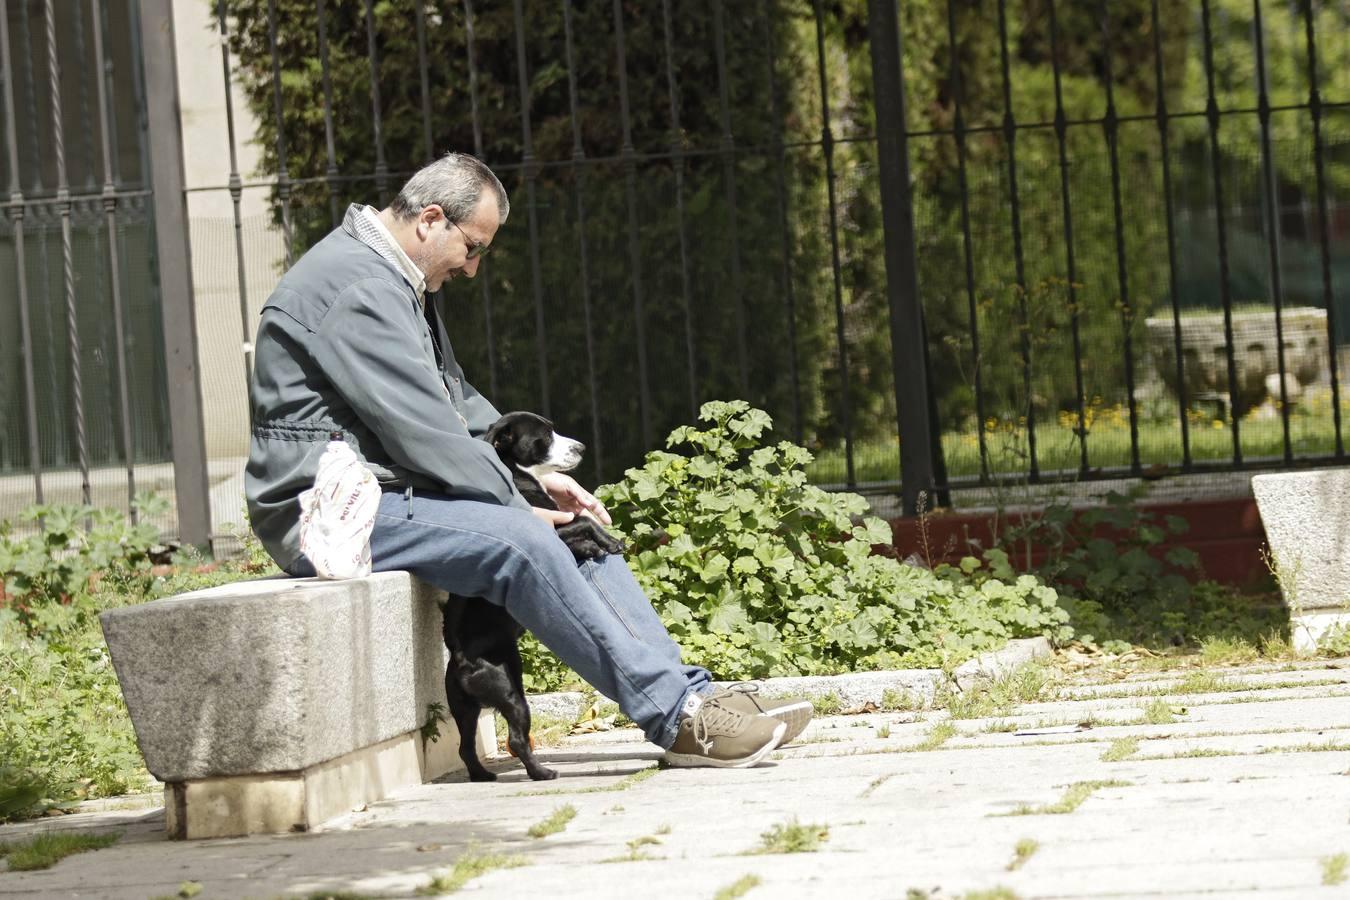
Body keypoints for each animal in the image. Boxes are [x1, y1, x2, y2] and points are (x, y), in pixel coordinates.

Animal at [442, 412, 621, 777]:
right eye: (545, 436)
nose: (581, 447)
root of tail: (463, 661)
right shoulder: (553, 528)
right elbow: (585, 520)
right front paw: (609, 543)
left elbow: (581, 528)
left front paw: (594, 548)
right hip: (512, 696)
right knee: (518, 739)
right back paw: (541, 773)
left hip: (464, 710)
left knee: (466, 747)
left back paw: (483, 776)